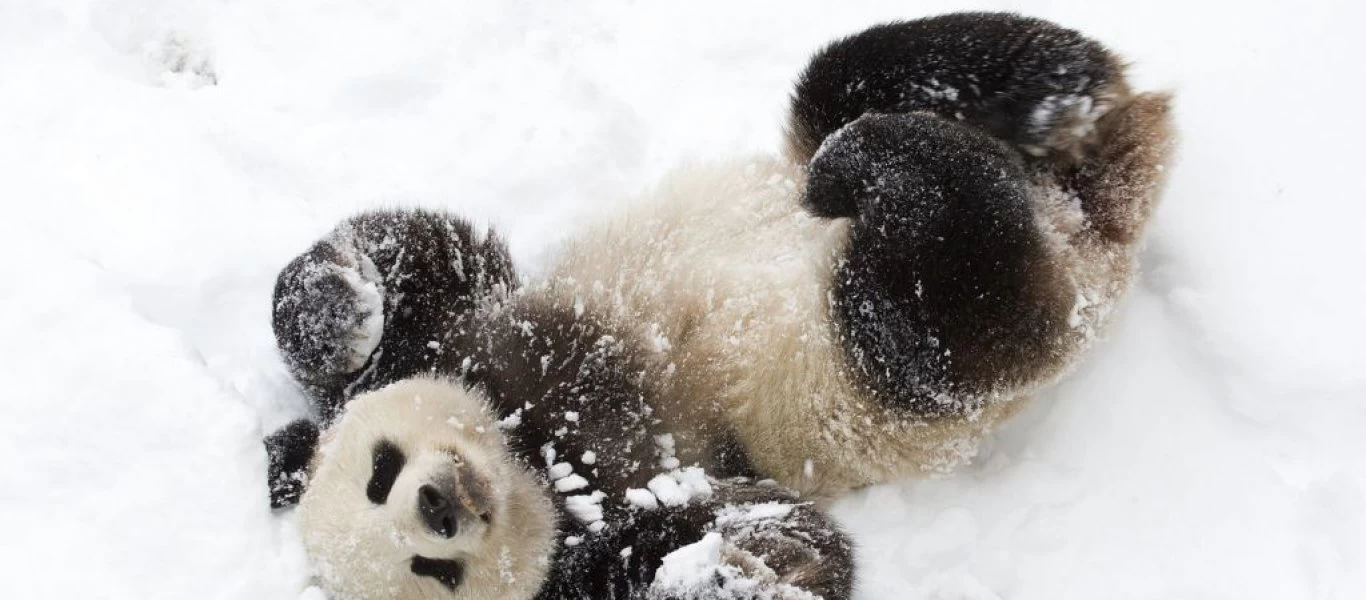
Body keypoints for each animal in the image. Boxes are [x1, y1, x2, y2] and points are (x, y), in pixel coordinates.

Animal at [263, 11, 1174, 600]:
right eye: (432, 570)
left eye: (380, 472)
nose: (440, 507)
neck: (534, 450)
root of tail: (1088, 218)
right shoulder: (617, 522)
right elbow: (783, 539)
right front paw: (724, 577)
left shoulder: (463, 332)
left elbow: (420, 253)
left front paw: (338, 311)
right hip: (892, 367)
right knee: (941, 310)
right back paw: (904, 166)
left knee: (855, 77)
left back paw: (1028, 99)